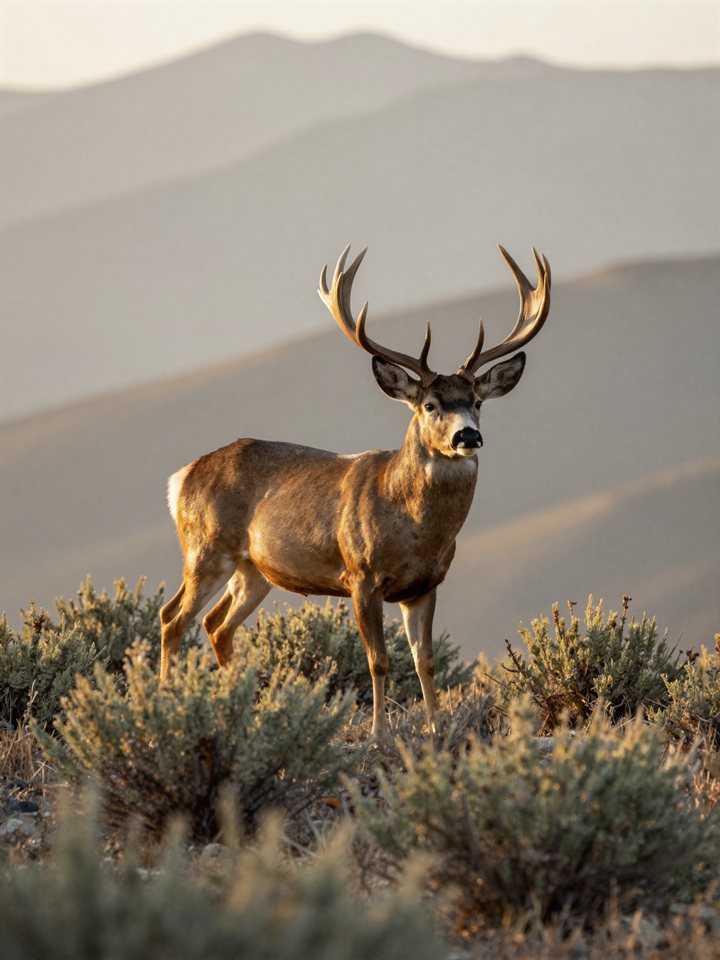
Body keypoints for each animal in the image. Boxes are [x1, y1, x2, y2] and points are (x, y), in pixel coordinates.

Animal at [160, 244, 551, 738]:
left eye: (477, 402)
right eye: (429, 404)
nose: (468, 436)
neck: (411, 527)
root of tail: (181, 477)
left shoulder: (426, 584)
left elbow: (425, 661)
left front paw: (435, 728)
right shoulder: (361, 575)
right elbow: (378, 661)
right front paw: (379, 733)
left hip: (253, 569)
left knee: (215, 625)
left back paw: (245, 714)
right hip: (206, 548)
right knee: (173, 618)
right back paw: (162, 704)